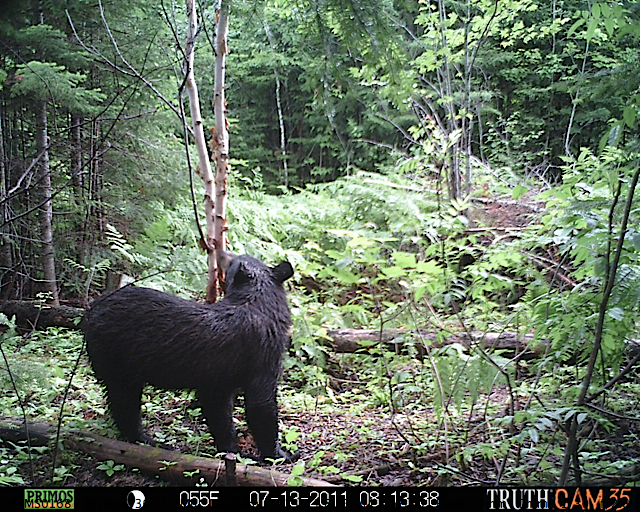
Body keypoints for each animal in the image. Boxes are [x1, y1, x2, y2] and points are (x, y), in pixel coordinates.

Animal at [80, 252, 298, 460]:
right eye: (234, 261)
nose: (223, 254)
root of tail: (91, 310)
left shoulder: (218, 381)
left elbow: (220, 416)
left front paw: (231, 451)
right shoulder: (262, 360)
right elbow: (261, 407)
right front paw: (280, 454)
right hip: (118, 362)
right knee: (125, 405)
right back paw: (146, 440)